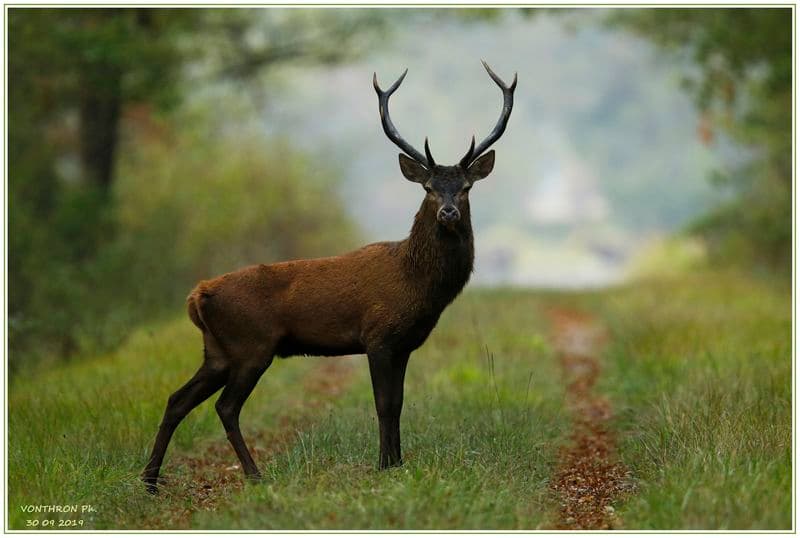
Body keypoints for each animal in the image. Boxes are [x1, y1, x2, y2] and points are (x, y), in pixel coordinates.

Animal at [141, 61, 516, 493]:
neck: (416, 286)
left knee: (177, 399)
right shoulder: (378, 336)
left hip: (217, 350)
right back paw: (253, 474)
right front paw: (384, 465)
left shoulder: (404, 345)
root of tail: (198, 295)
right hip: (251, 344)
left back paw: (150, 481)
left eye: (466, 187)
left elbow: (399, 403)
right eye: (428, 187)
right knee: (226, 406)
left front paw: (398, 463)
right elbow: (384, 404)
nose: (449, 212)